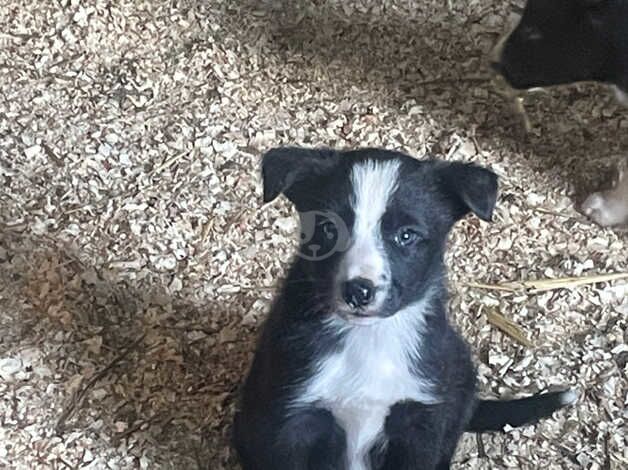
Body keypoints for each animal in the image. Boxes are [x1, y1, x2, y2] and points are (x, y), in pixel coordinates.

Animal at [233, 148, 576, 470]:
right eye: (329, 228)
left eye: (406, 235)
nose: (358, 291)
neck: (368, 340)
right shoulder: (290, 423)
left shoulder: (420, 423)